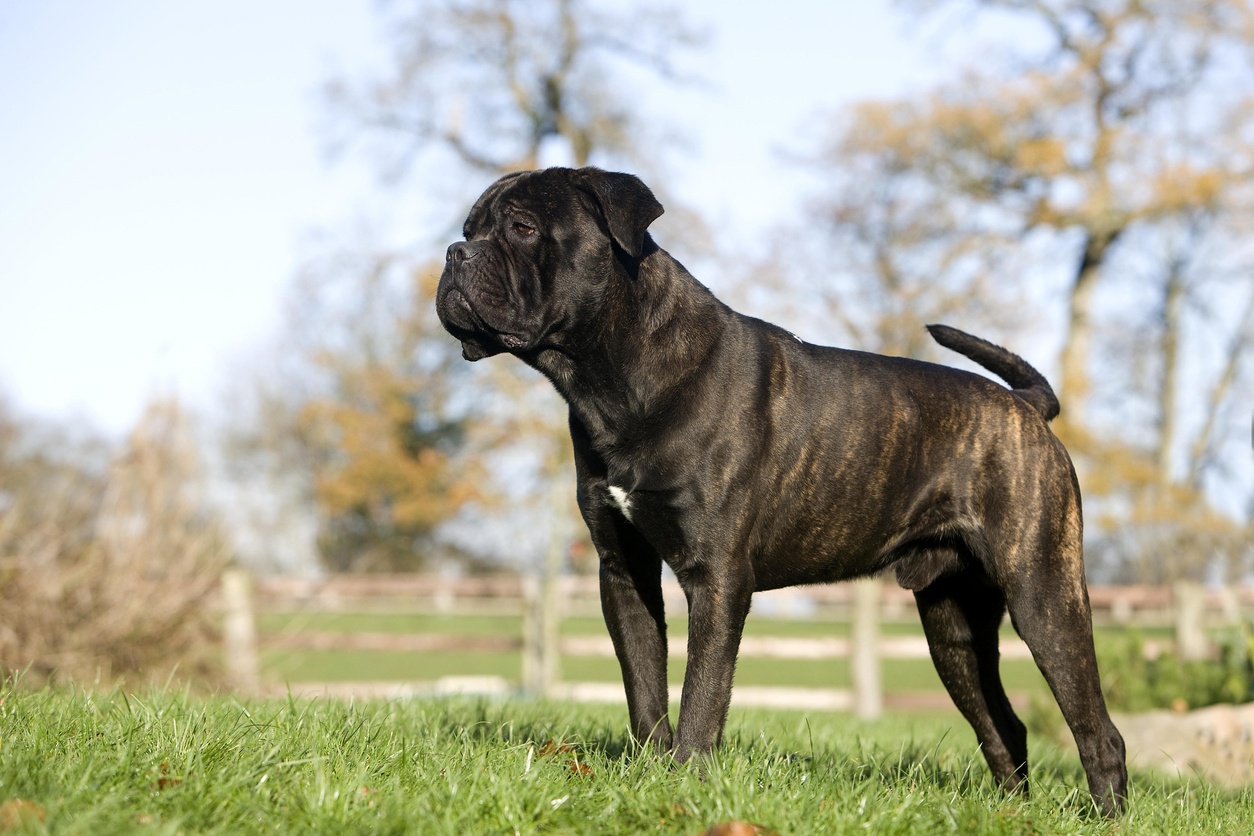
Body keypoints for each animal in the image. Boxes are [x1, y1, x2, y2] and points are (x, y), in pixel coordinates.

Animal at [436, 166, 1133, 812]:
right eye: (470, 228)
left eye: (523, 228)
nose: (454, 253)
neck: (614, 376)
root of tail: (1027, 407)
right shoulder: (623, 570)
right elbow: (645, 687)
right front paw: (652, 774)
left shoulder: (716, 577)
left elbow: (702, 694)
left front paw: (686, 782)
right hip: (953, 625)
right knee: (1003, 725)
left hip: (1043, 596)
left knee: (1098, 731)